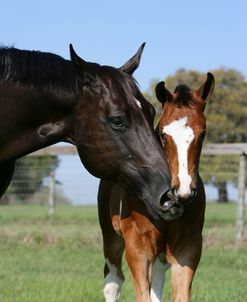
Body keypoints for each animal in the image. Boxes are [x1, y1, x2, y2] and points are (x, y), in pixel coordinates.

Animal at [98, 73, 214, 302]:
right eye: (162, 133)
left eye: (203, 133)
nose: (183, 191)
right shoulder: (138, 248)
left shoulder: (188, 247)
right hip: (111, 236)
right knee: (113, 281)